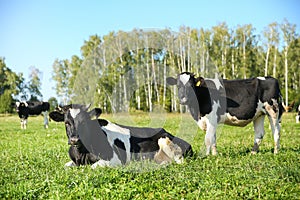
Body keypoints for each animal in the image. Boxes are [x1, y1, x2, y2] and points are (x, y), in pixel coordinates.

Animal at [49, 104, 192, 168]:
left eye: (84, 122)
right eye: (66, 122)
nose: (74, 140)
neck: (81, 154)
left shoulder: (115, 159)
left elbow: (93, 167)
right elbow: (66, 166)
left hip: (165, 141)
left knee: (178, 161)